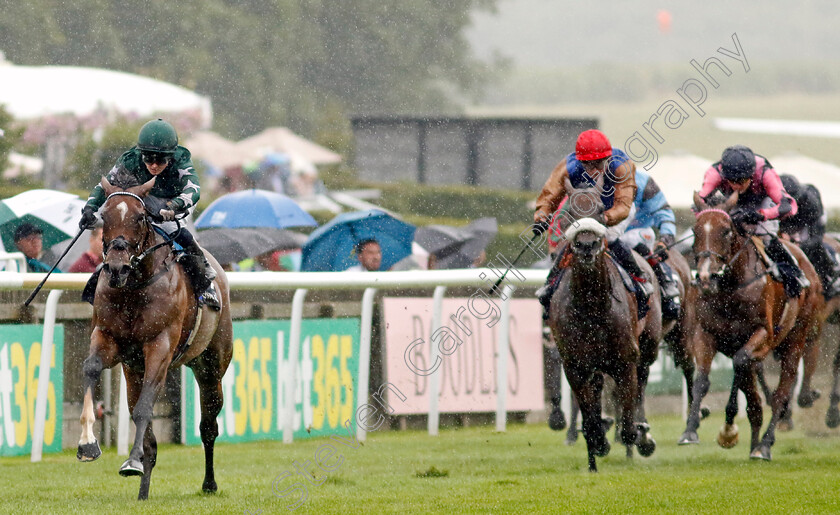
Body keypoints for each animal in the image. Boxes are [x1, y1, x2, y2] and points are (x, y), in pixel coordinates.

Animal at [75, 176, 233, 500]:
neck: (134, 287)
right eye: (103, 215)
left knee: (208, 426)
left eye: (140, 217)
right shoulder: (108, 338)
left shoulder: (160, 347)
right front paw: (87, 444)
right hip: (133, 370)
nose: (117, 267)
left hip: (212, 366)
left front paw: (132, 460)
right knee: (148, 430)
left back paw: (209, 484)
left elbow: (145, 409)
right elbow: (92, 369)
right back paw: (143, 491)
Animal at [676, 194, 820, 460]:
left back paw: (764, 445)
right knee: (755, 394)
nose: (705, 277)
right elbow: (703, 380)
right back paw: (755, 443)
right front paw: (690, 431)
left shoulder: (763, 333)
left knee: (782, 393)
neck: (731, 287)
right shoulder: (705, 334)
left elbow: (741, 362)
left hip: (796, 338)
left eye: (725, 231)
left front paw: (729, 429)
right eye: (695, 230)